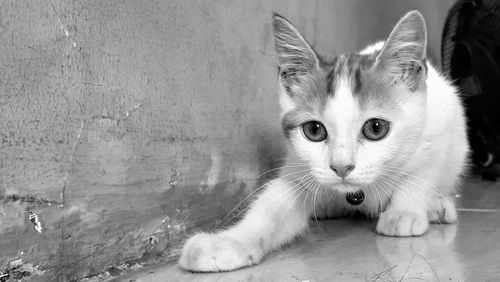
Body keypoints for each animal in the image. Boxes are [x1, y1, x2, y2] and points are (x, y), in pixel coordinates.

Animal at [179, 9, 468, 272]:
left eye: (376, 128)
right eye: (314, 130)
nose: (341, 167)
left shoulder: (439, 129)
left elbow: (422, 173)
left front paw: (404, 212)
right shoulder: (299, 166)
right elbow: (272, 205)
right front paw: (229, 241)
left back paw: (437, 207)